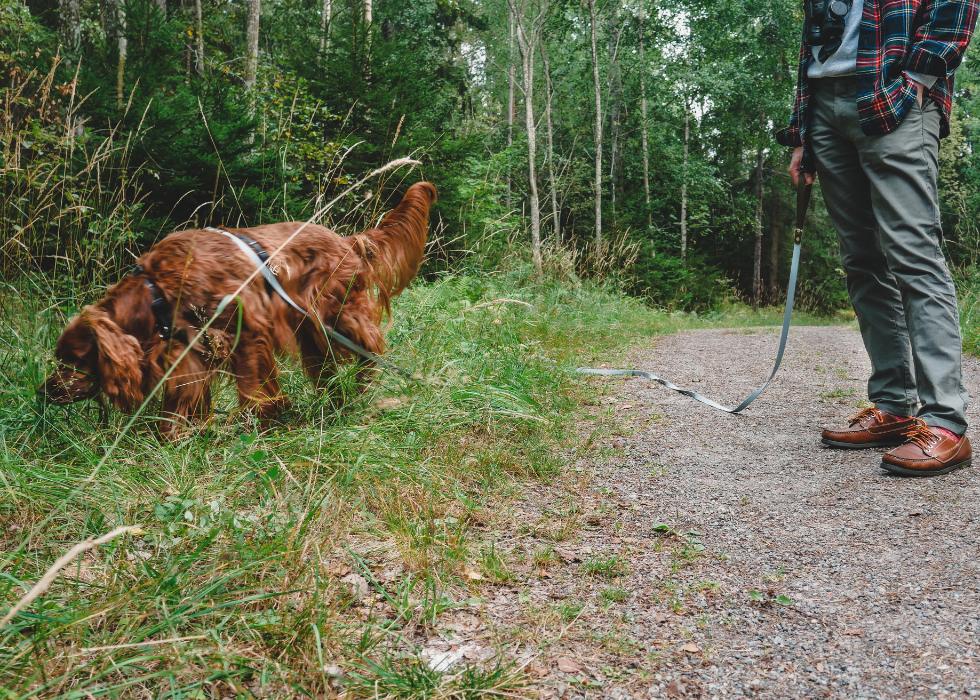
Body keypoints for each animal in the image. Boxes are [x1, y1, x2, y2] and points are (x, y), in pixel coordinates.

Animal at [39, 179, 436, 438]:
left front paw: (260, 419)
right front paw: (176, 436)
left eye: (73, 360)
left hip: (333, 313)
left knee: (371, 344)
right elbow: (184, 399)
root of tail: (348, 240)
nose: (45, 391)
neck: (155, 289)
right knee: (328, 370)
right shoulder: (189, 348)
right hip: (312, 331)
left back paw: (362, 387)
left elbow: (253, 387)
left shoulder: (247, 332)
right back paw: (332, 405)